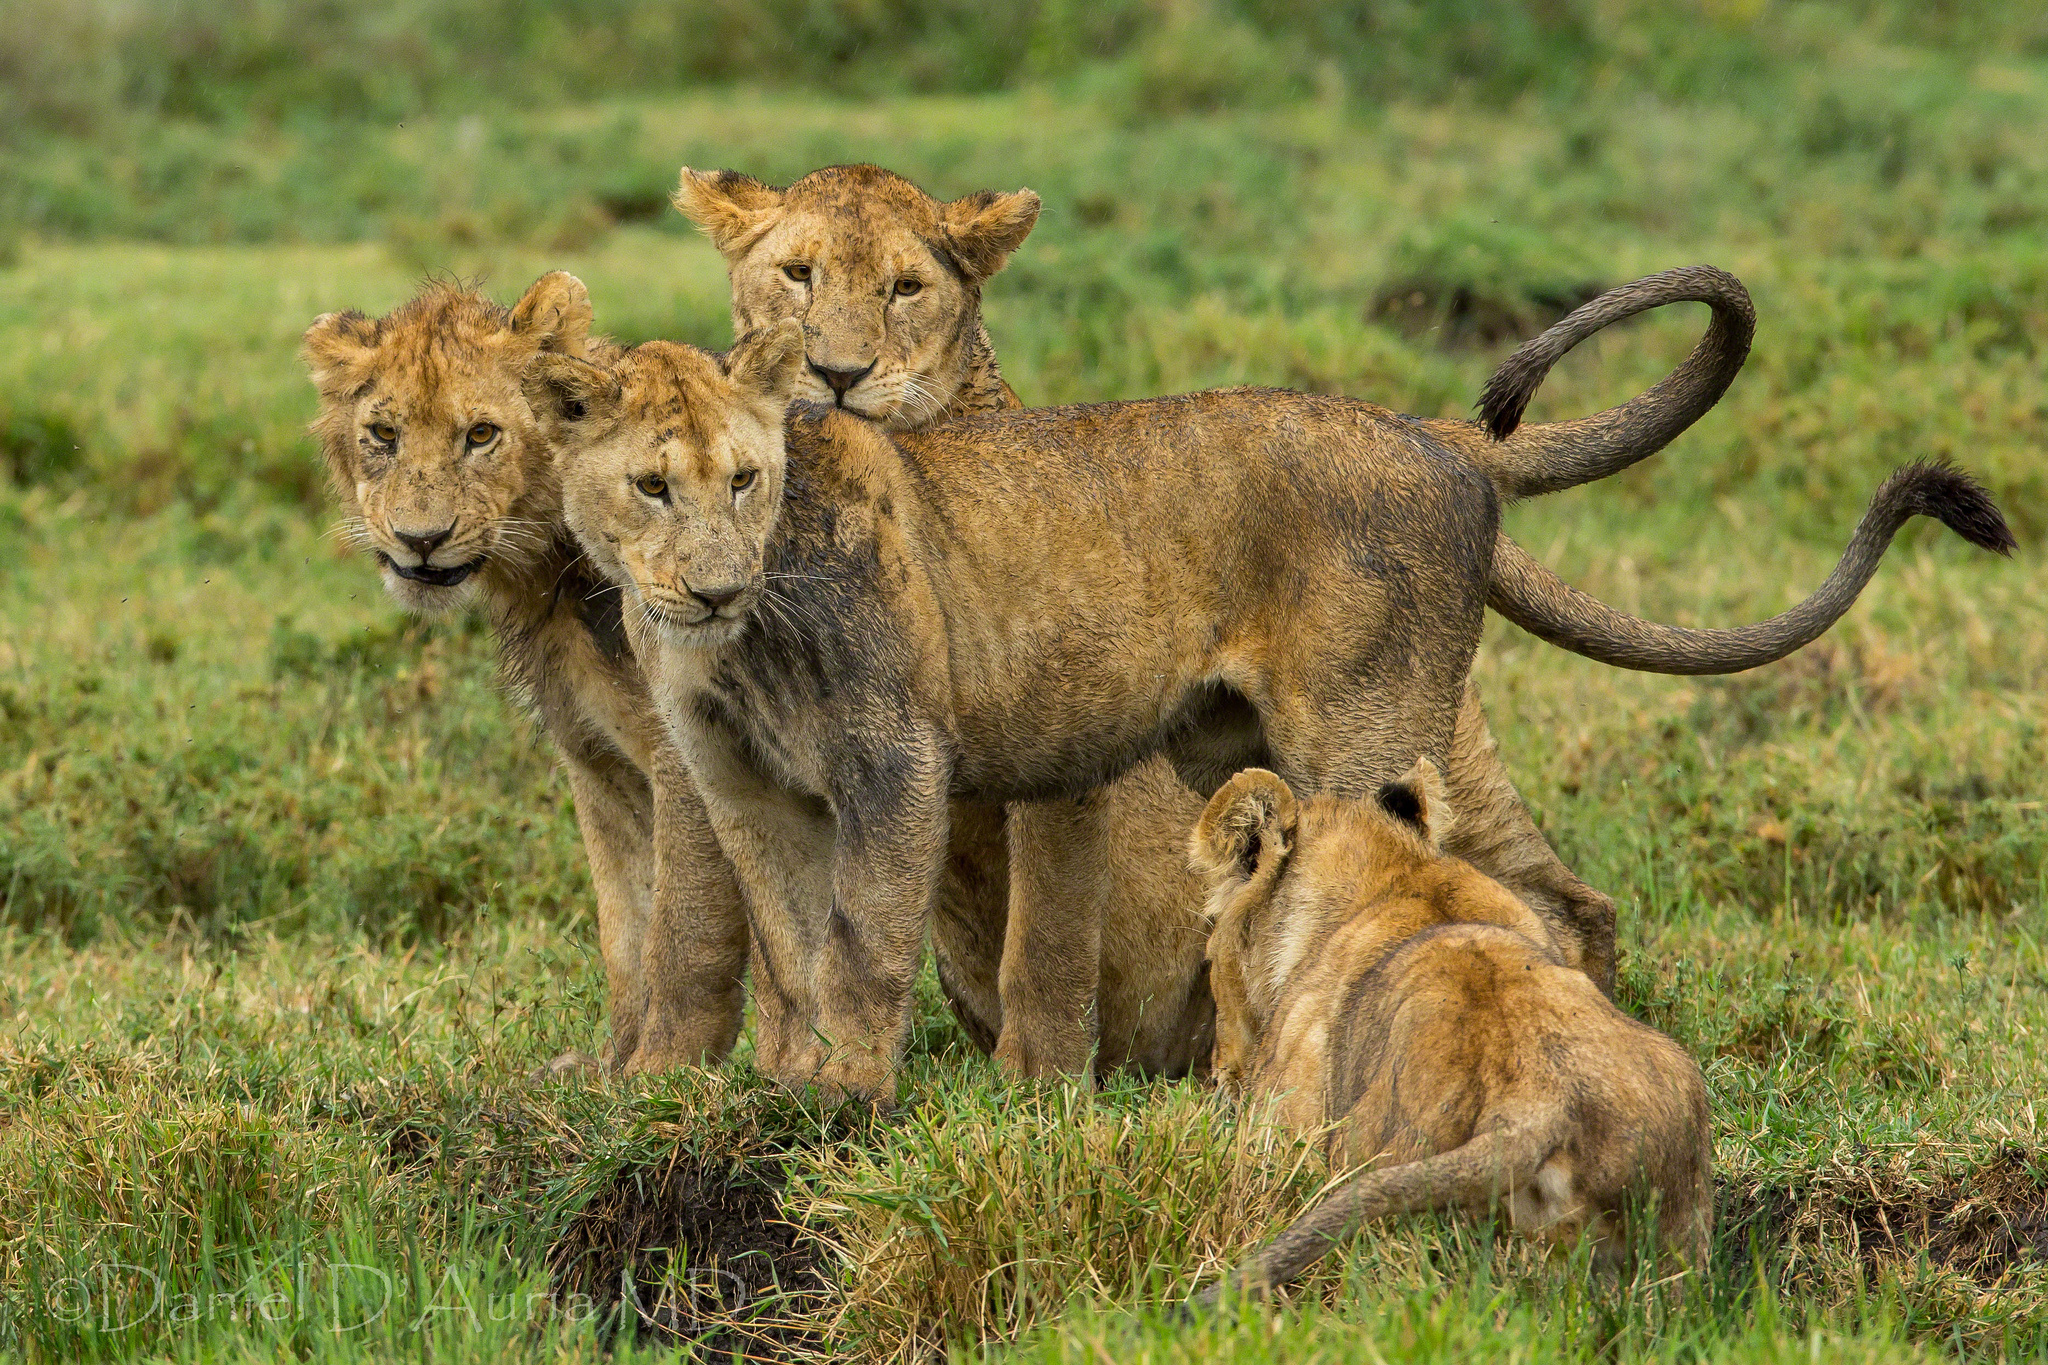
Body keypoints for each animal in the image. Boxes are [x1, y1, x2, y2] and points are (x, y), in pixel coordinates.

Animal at [532, 323, 2015, 1096]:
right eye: (653, 485)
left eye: (743, 477)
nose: (713, 582)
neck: (738, 633)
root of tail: (1434, 435)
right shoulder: (739, 782)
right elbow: (786, 943)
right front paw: (777, 1101)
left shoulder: (895, 761)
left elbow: (861, 946)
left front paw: (844, 1103)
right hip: (1233, 741)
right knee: (1562, 899)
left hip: (1361, 726)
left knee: (1440, 895)